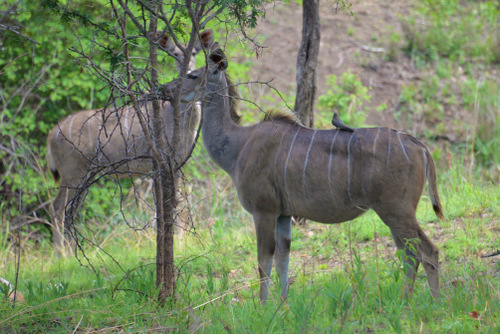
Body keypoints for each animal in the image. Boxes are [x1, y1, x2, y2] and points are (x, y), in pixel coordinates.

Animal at [47, 30, 216, 252]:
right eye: (174, 54)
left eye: (194, 52)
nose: (188, 69)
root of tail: (51, 135)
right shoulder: (161, 163)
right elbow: (166, 204)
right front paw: (174, 242)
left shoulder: (177, 164)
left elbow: (177, 201)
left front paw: (179, 241)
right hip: (72, 173)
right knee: (57, 207)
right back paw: (61, 254)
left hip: (86, 174)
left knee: (70, 209)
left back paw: (72, 250)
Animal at [162, 45, 444, 302]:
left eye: (193, 75)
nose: (164, 90)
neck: (239, 145)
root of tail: (419, 146)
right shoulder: (284, 214)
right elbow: (282, 262)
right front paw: (283, 306)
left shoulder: (264, 210)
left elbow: (264, 262)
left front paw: (262, 308)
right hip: (392, 213)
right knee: (410, 255)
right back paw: (405, 301)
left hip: (397, 210)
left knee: (428, 252)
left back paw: (435, 303)